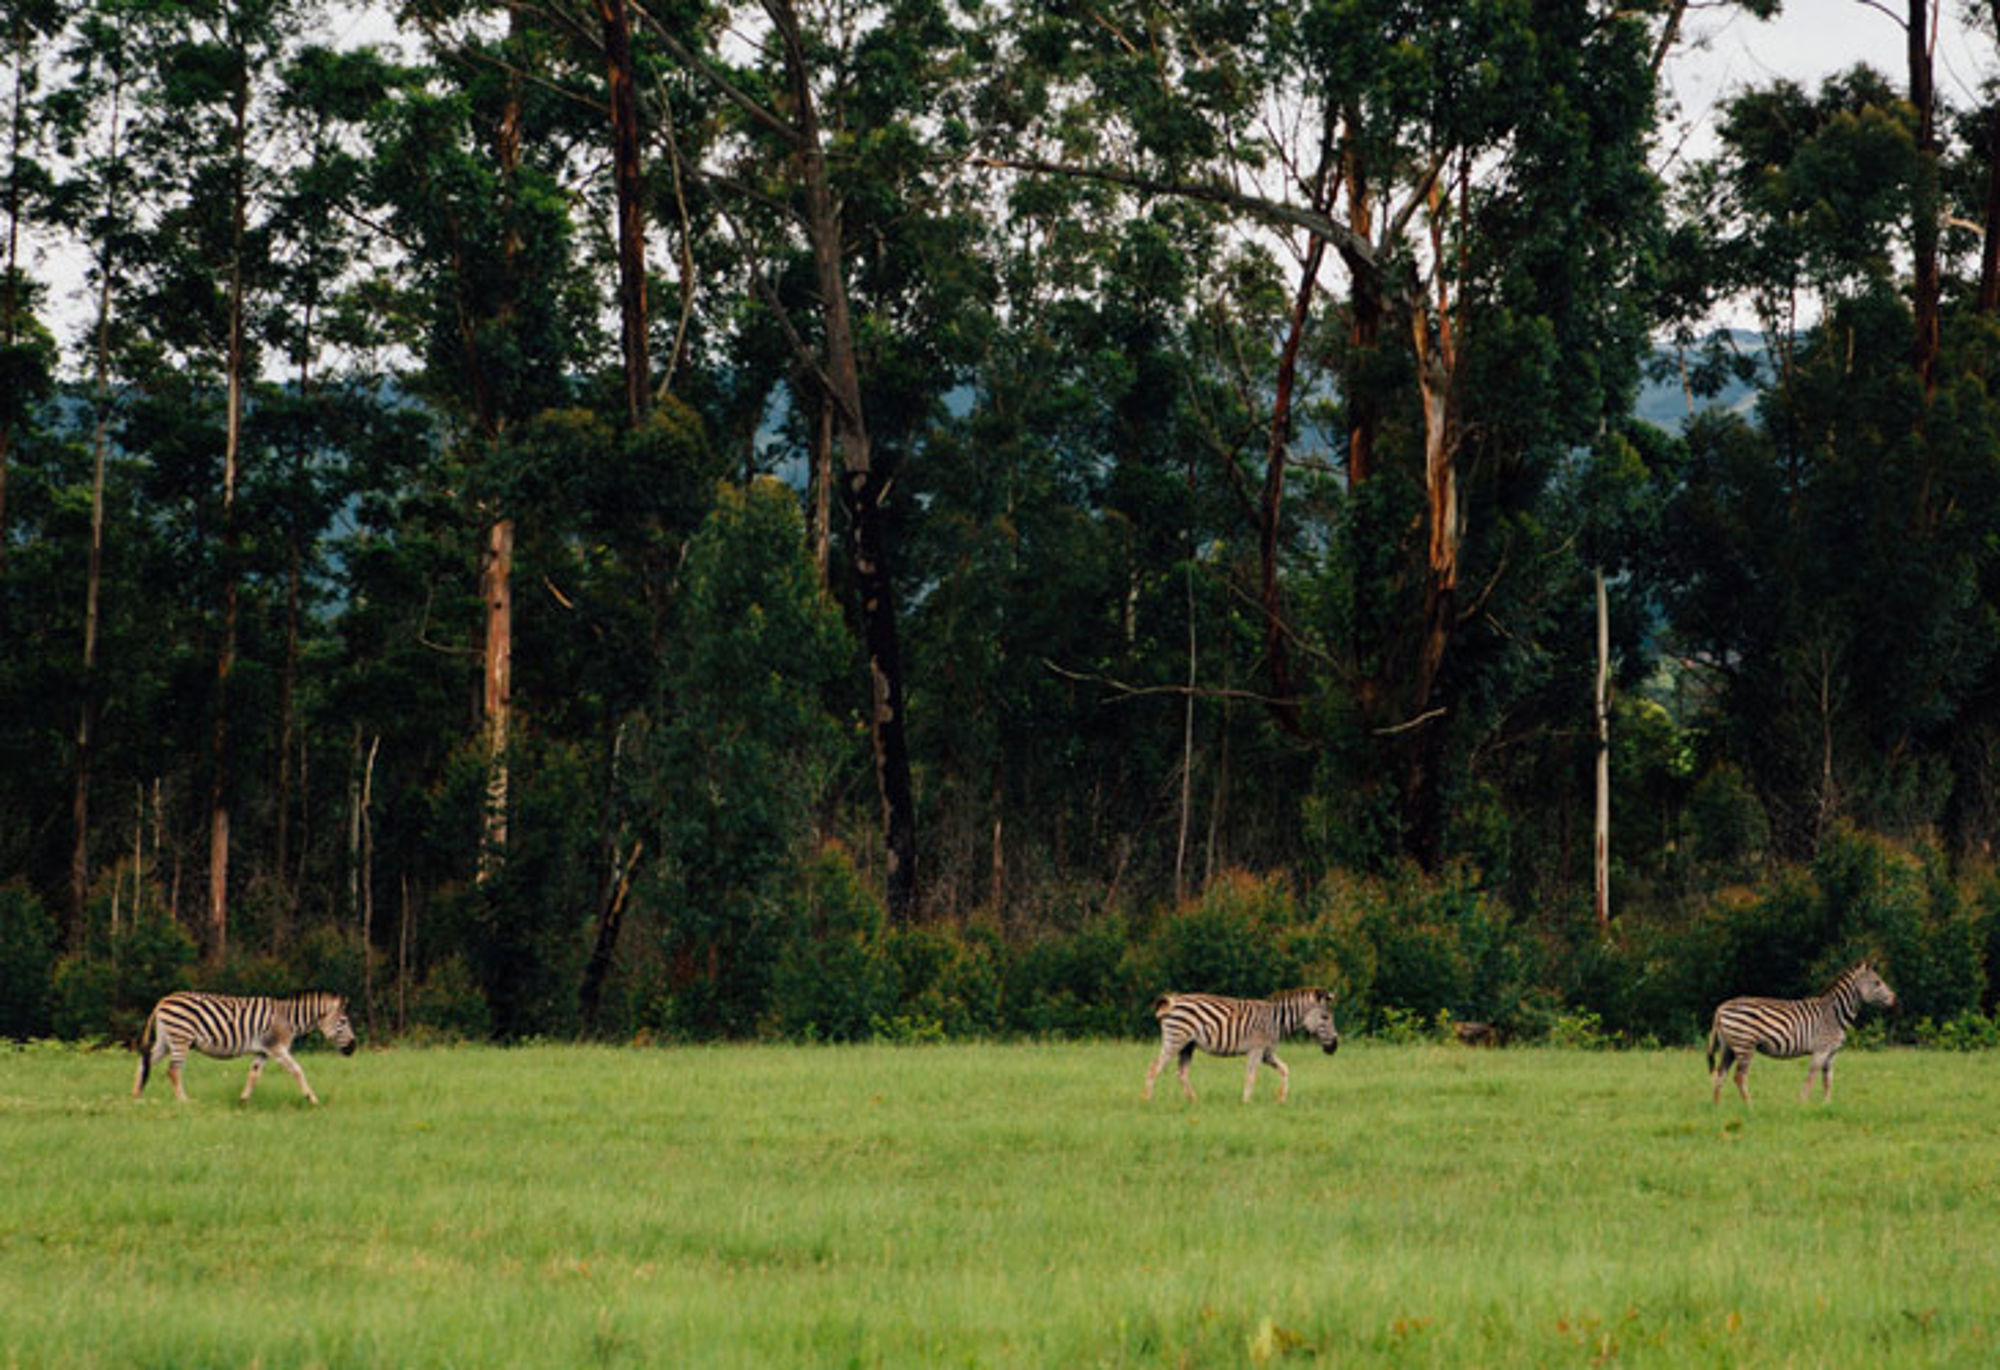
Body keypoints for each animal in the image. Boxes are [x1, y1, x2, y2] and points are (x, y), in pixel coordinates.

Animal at [133, 991, 357, 1104]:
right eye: (344, 1021)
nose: (353, 1048)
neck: (289, 1020)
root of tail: (163, 1000)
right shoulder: (277, 1048)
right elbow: (297, 1070)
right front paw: (312, 1099)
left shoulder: (263, 1051)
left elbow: (254, 1075)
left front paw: (243, 1100)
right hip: (181, 1038)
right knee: (173, 1070)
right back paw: (184, 1101)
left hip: (166, 1040)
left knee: (144, 1062)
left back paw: (136, 1096)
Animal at [1144, 988, 1340, 1104]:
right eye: (1325, 1017)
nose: (1334, 1047)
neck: (1275, 1021)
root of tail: (1173, 1001)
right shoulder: (1256, 1049)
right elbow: (1251, 1075)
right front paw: (1246, 1102)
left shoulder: (1267, 1053)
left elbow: (1285, 1069)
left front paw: (1281, 1098)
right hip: (1175, 1039)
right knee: (1153, 1068)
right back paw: (1147, 1100)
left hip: (1188, 1045)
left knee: (1182, 1073)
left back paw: (1194, 1102)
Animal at [1707, 961, 1896, 1104]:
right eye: (1877, 982)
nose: (1895, 999)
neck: (1835, 1014)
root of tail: (1721, 1007)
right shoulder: (1821, 1050)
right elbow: (1811, 1078)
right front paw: (1802, 1104)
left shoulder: (1832, 1053)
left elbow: (1828, 1080)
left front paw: (1826, 1105)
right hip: (1744, 1044)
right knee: (1739, 1077)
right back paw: (1750, 1107)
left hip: (1729, 1047)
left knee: (1720, 1074)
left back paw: (1717, 1107)